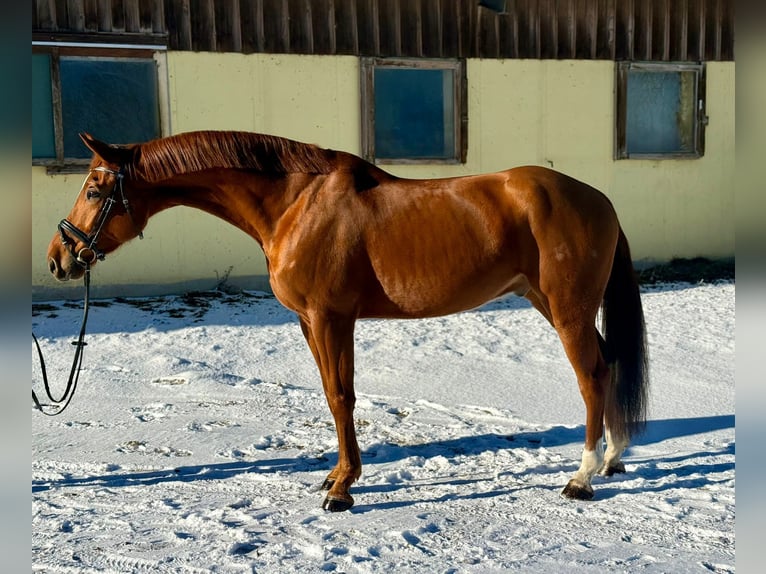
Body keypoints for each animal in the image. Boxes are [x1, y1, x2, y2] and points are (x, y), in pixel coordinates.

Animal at [46, 130, 648, 512]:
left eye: (95, 190)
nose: (59, 259)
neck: (294, 203)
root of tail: (599, 199)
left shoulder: (331, 317)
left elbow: (341, 396)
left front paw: (343, 491)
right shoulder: (309, 323)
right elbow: (331, 394)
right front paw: (336, 476)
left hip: (566, 310)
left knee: (591, 374)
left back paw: (582, 476)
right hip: (548, 302)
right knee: (607, 362)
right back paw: (614, 459)